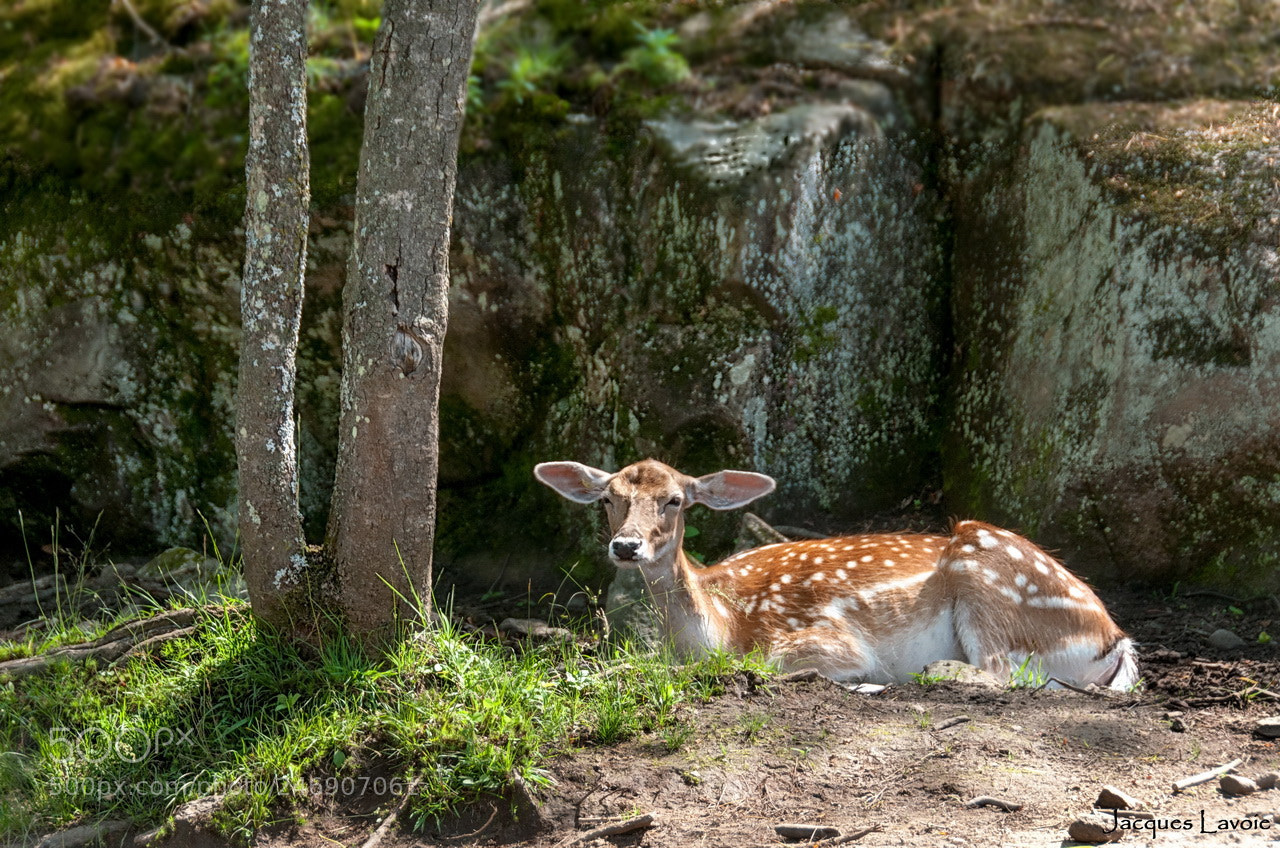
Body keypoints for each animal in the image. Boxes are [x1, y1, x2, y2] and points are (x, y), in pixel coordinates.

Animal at [535, 458, 1136, 691]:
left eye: (676, 500)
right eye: (608, 498)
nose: (626, 546)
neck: (721, 626)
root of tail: (1115, 640)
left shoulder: (828, 636)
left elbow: (777, 662)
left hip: (987, 577)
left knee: (1002, 672)